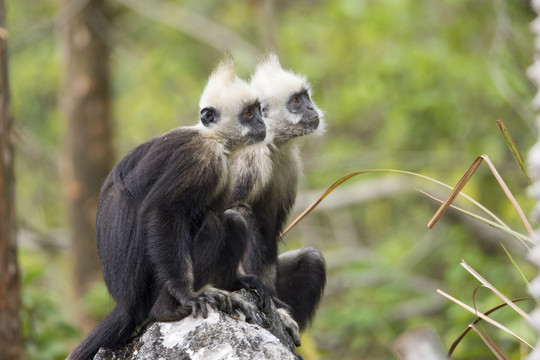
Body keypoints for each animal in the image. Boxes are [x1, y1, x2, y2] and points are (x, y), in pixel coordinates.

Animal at [68, 57, 266, 360]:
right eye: (248, 114)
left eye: (257, 111)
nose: (261, 121)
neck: (213, 139)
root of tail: (127, 304)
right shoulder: (198, 157)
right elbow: (163, 213)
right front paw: (186, 294)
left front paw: (239, 281)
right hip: (147, 289)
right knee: (214, 221)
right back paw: (166, 309)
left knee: (231, 220)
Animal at [230, 54, 326, 346]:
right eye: (296, 101)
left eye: (305, 97)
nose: (312, 108)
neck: (272, 143)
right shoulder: (252, 156)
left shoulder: (290, 164)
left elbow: (271, 236)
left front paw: (281, 313)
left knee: (312, 259)